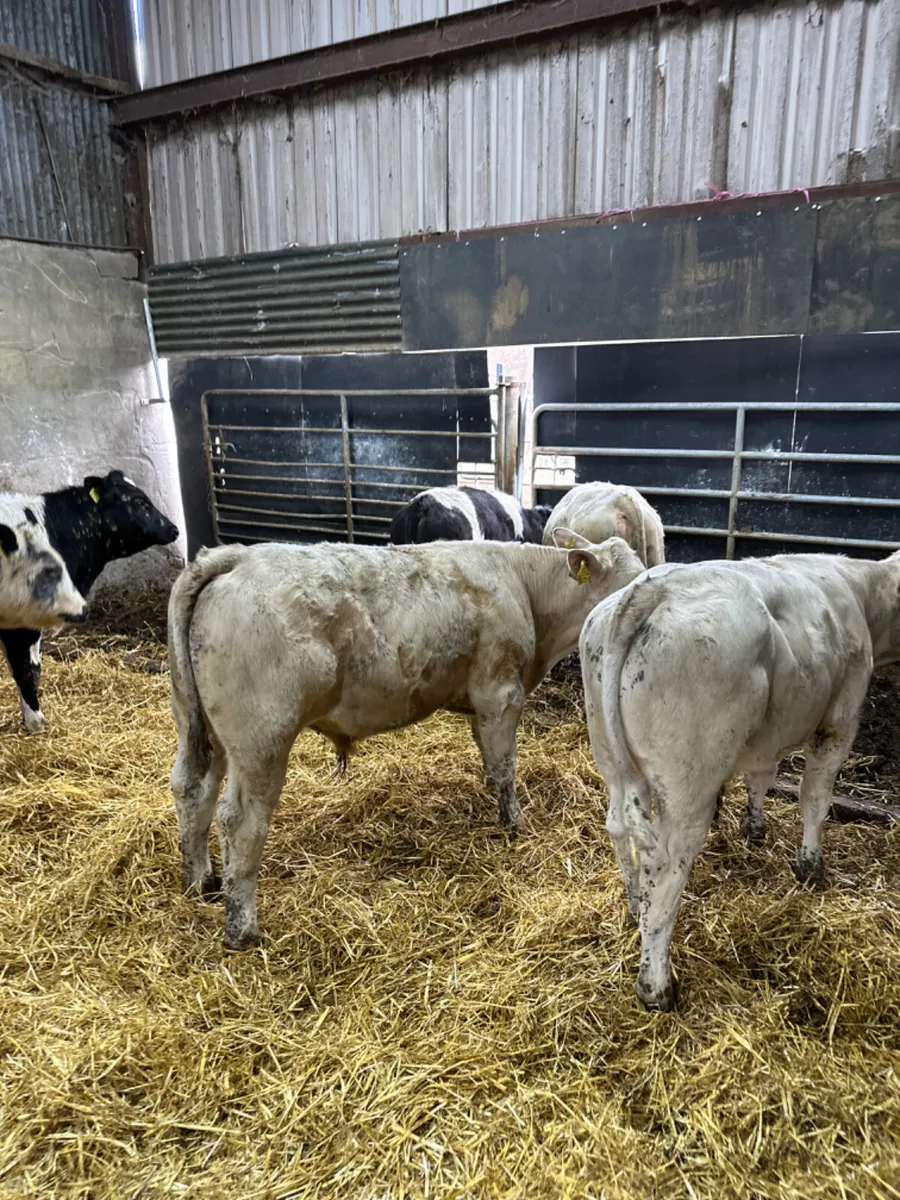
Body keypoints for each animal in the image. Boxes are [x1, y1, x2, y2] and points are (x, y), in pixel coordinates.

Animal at [168, 530, 645, 950]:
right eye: (629, 584)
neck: (525, 586)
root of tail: (237, 557)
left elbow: (490, 762)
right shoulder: (501, 693)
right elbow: (505, 766)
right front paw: (514, 823)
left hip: (198, 725)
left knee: (192, 788)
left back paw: (200, 881)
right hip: (262, 739)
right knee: (240, 821)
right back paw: (241, 929)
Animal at [579, 549, 900, 1012]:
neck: (859, 592)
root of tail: (652, 589)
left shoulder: (770, 732)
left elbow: (761, 775)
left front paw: (754, 826)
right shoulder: (839, 721)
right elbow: (814, 799)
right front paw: (810, 866)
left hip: (612, 759)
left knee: (621, 832)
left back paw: (633, 908)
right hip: (688, 781)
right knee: (666, 866)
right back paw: (657, 986)